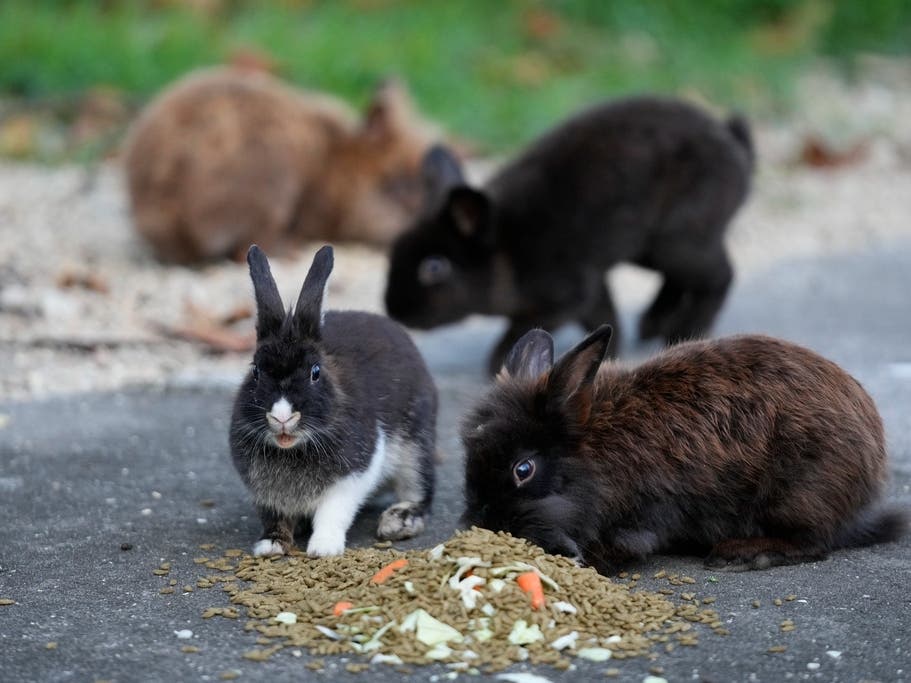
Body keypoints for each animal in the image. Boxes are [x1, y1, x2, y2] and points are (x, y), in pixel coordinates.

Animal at [229, 244, 437, 557]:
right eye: (255, 370)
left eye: (315, 372)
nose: (282, 416)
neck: (294, 448)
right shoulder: (266, 494)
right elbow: (275, 517)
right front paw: (271, 545)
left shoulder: (353, 476)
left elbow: (333, 512)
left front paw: (323, 548)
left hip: (416, 446)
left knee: (421, 489)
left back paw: (398, 521)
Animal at [385, 95, 754, 375]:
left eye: (434, 267)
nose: (395, 310)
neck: (505, 246)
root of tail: (734, 150)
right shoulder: (591, 284)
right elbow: (604, 314)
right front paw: (612, 352)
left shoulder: (565, 295)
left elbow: (523, 328)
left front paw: (497, 365)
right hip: (651, 251)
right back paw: (654, 324)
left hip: (676, 242)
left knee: (721, 275)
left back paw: (683, 332)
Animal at [461, 326, 907, 573]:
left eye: (523, 469)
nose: (482, 523)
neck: (596, 450)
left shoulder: (645, 516)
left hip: (799, 492)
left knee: (814, 542)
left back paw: (741, 555)